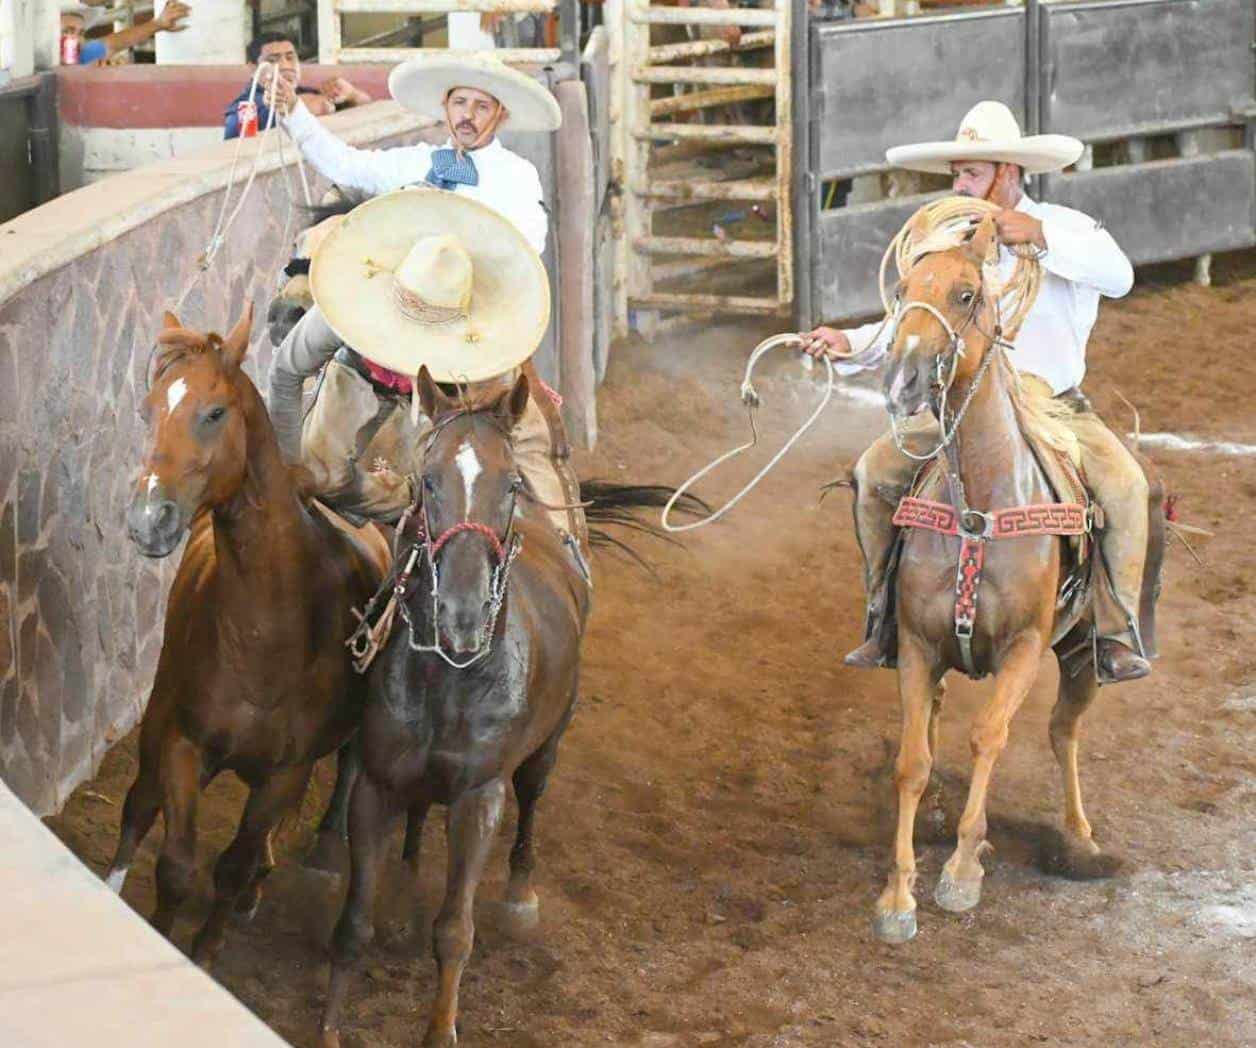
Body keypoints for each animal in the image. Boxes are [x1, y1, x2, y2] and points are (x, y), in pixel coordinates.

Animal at [111, 304, 389, 965]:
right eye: (149, 410)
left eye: (214, 412)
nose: (148, 519)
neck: (268, 636)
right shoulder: (184, 742)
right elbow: (177, 865)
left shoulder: (285, 775)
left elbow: (232, 869)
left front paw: (207, 951)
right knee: (139, 805)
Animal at [316, 366, 688, 1045]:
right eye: (427, 478)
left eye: (508, 482)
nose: (462, 615)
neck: (451, 677)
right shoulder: (377, 787)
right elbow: (353, 921)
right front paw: (330, 1025)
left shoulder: (478, 798)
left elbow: (454, 932)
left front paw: (440, 1029)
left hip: (549, 743)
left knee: (533, 799)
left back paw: (519, 896)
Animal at [869, 216, 1160, 944]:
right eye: (904, 291)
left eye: (968, 293)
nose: (903, 379)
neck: (982, 502)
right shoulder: (916, 645)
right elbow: (913, 760)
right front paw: (898, 895)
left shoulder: (1024, 647)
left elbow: (990, 737)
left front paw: (962, 872)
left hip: (1082, 654)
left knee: (1063, 732)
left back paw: (1080, 841)